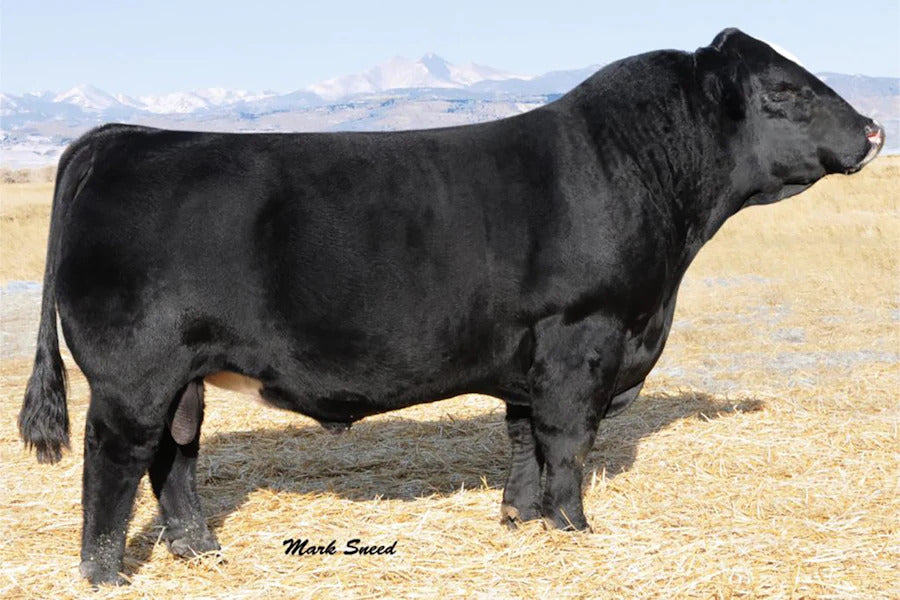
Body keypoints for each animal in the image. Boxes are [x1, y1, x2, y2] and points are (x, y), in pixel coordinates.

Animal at [19, 28, 884, 585]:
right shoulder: (583, 338)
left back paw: (201, 553)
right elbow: (569, 443)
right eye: (784, 90)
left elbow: (525, 443)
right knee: (115, 460)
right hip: (135, 373)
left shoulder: (530, 357)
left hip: (185, 375)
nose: (876, 129)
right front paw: (575, 530)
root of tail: (121, 135)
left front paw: (522, 521)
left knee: (175, 457)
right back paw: (104, 574)